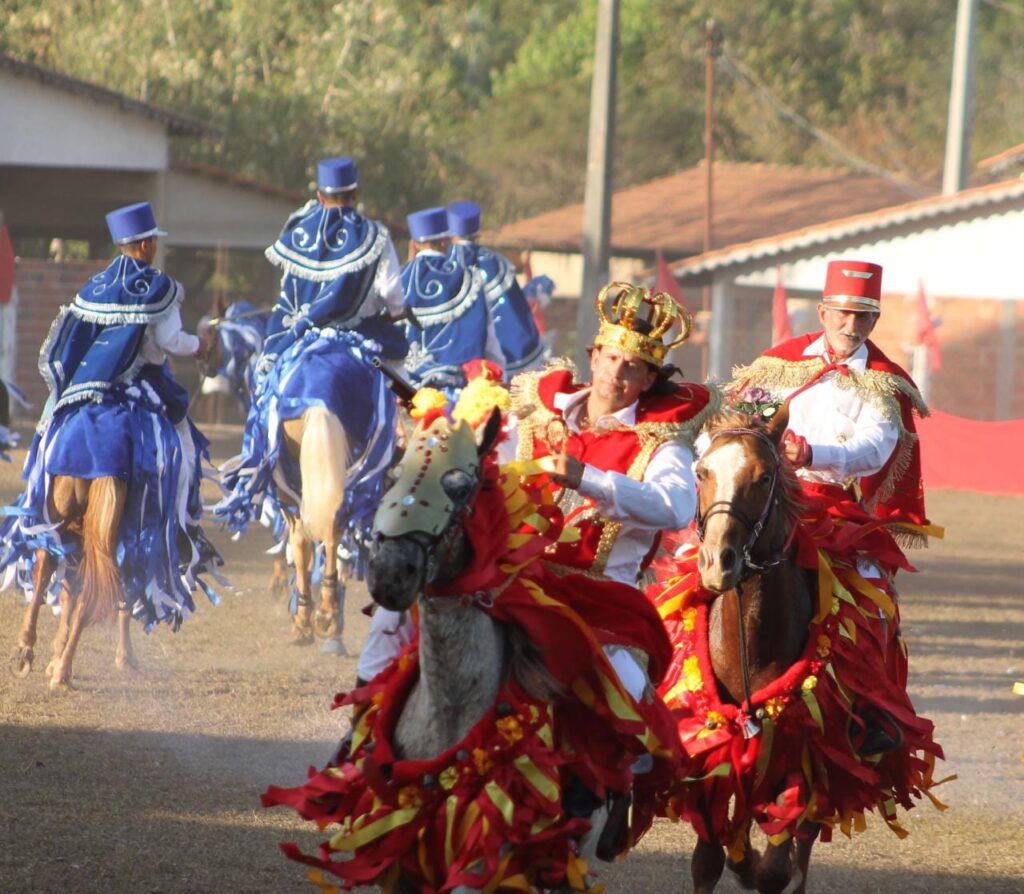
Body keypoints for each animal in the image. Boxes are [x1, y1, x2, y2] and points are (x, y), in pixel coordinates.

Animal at [10, 475, 135, 692]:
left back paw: (34, 655)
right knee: (89, 601)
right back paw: (63, 672)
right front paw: (56, 660)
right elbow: (70, 597)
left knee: (44, 568)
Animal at [684, 405, 819, 892]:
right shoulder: (715, 751)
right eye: (701, 471)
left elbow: (777, 866)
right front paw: (738, 857)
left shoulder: (800, 749)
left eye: (763, 477)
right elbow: (708, 858)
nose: (717, 563)